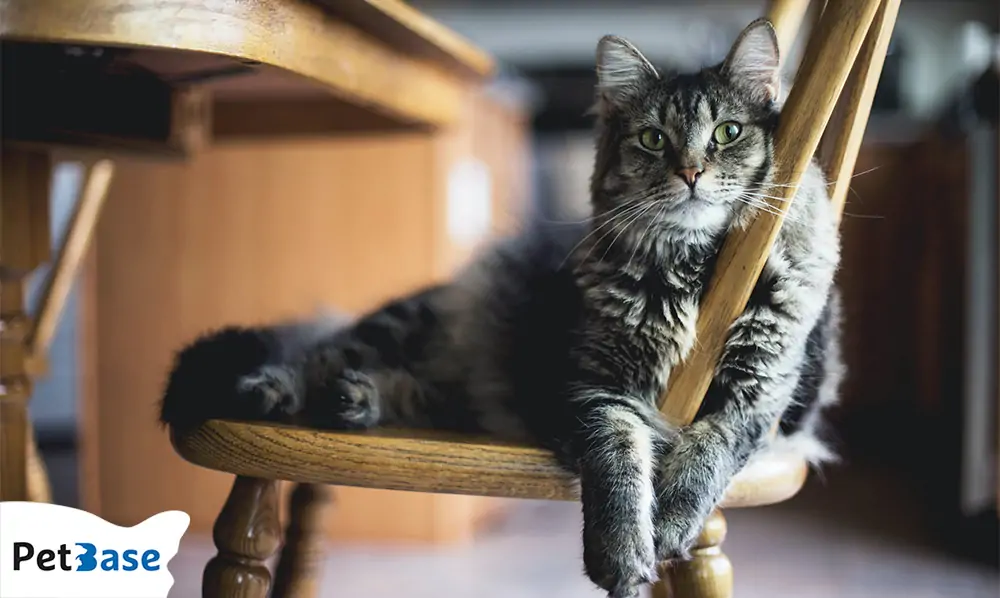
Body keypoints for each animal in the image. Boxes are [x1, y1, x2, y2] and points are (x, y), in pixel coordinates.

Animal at [162, 19, 844, 598]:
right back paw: (277, 390)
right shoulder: (594, 388)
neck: (695, 270)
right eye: (653, 139)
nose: (692, 172)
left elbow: (709, 452)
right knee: (318, 354)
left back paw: (357, 400)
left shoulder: (761, 391)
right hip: (398, 328)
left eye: (728, 132)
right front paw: (623, 554)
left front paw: (672, 523)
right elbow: (619, 465)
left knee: (410, 387)